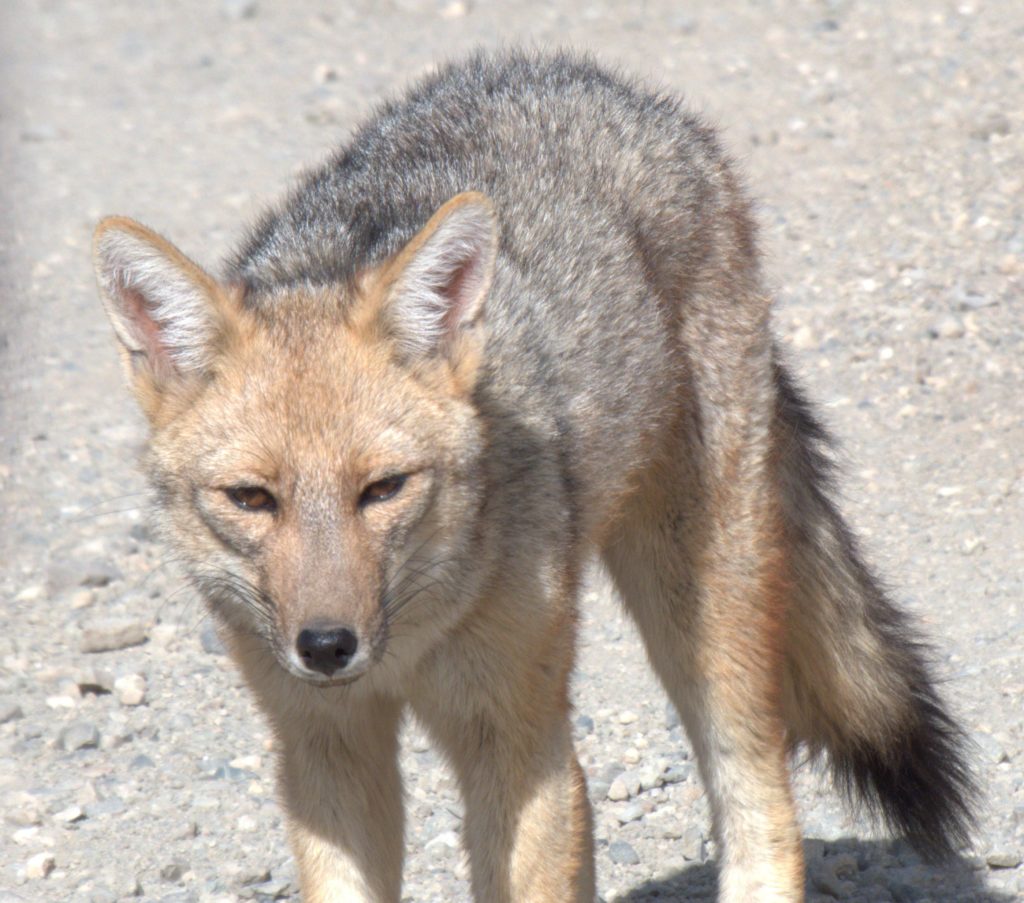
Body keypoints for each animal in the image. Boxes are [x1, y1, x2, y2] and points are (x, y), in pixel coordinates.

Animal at [94, 50, 974, 900]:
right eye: (252, 498)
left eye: (383, 489)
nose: (327, 645)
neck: (410, 646)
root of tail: (589, 80)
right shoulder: (327, 746)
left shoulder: (518, 743)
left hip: (701, 614)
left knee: (764, 804)